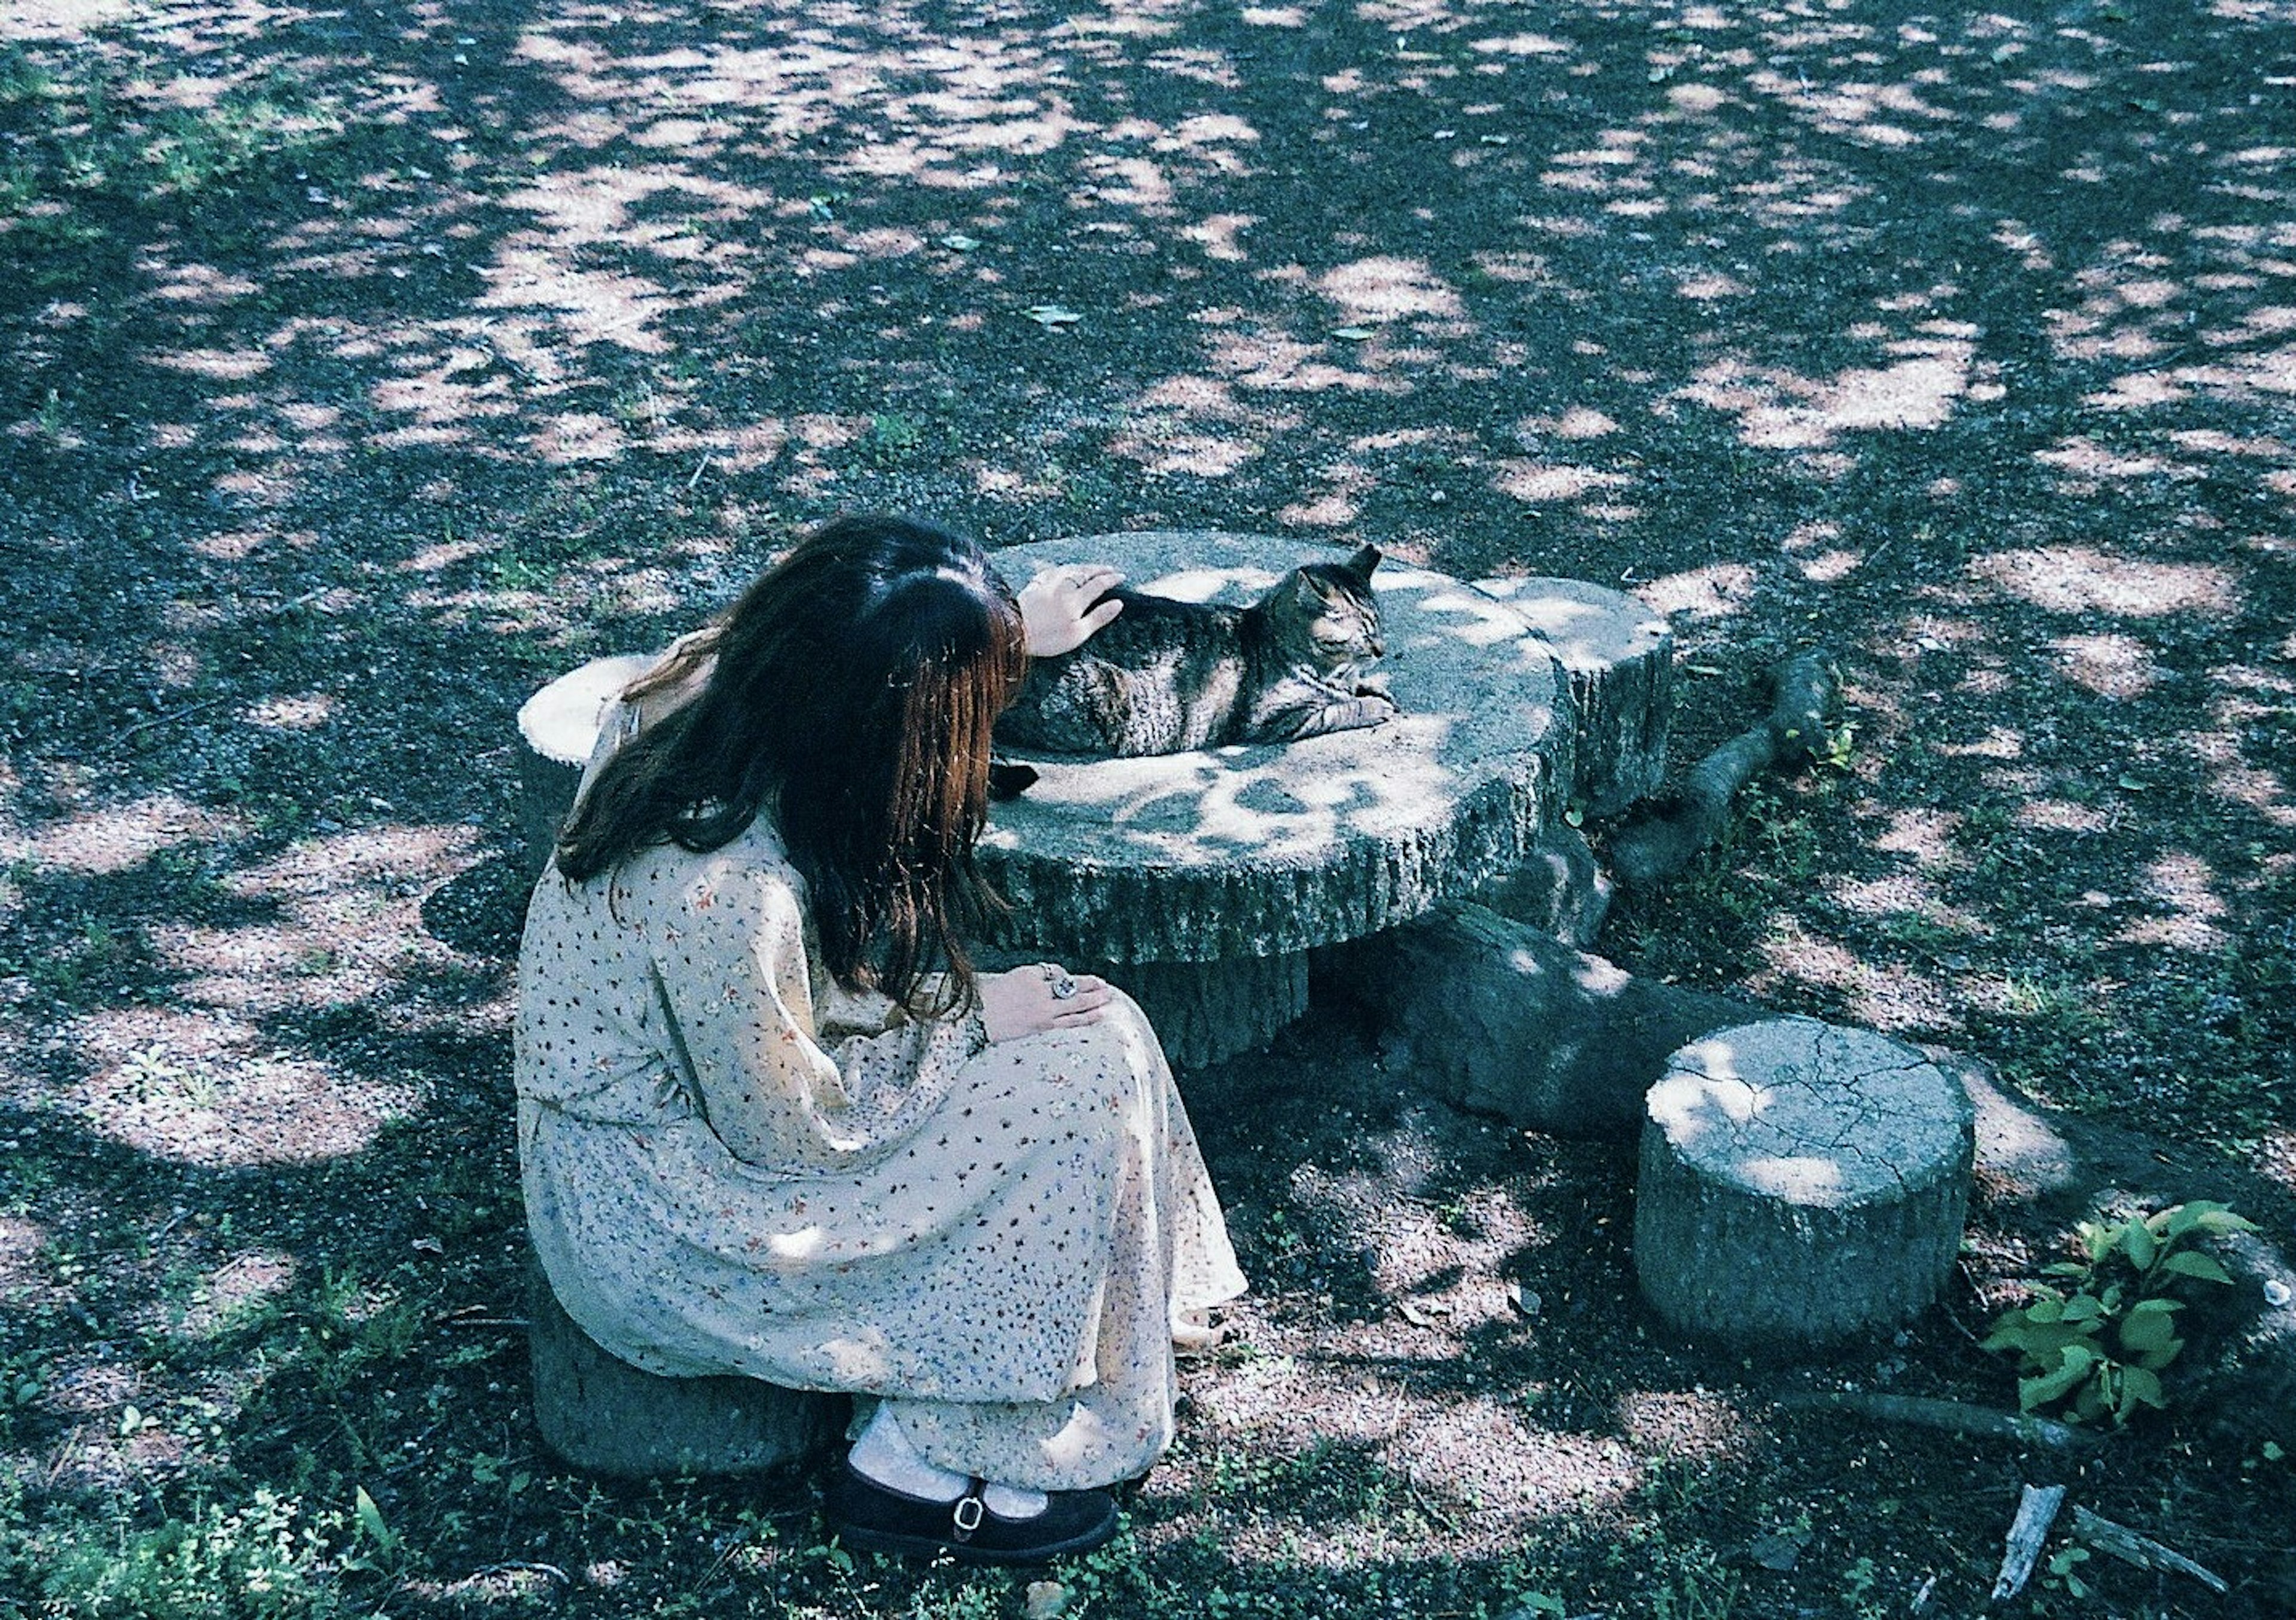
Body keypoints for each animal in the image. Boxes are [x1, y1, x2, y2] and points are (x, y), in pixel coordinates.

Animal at [996, 542, 1387, 772]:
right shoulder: (1282, 720)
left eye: (1381, 627)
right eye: (1366, 633)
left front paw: (1372, 689)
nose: (1381, 650)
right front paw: (1373, 704)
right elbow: (1341, 709)